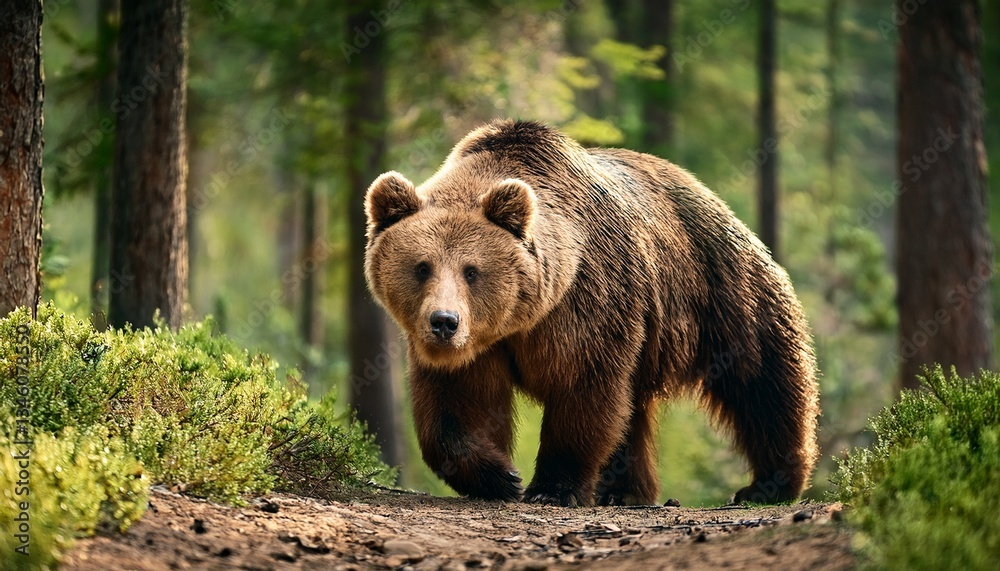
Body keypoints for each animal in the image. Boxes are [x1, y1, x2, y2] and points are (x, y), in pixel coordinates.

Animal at [363, 119, 819, 507]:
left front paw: (552, 488)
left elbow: (582, 388)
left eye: (472, 271)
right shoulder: (479, 344)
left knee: (762, 379)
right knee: (634, 411)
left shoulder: (587, 302)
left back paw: (768, 484)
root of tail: (704, 191)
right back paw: (625, 491)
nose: (444, 322)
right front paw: (499, 477)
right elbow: (456, 404)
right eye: (422, 267)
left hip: (717, 290)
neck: (527, 315)